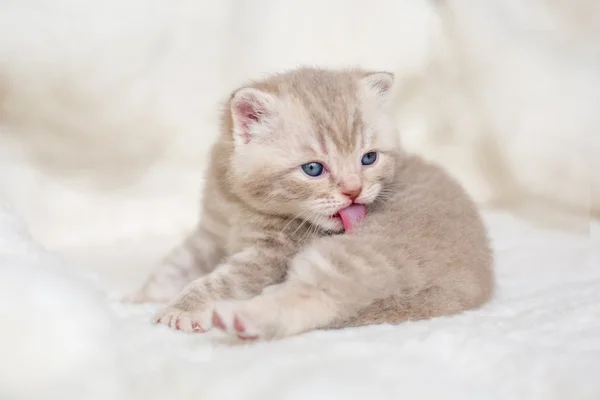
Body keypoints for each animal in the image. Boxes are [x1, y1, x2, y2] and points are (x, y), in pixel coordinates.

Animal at [126, 67, 492, 340]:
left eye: (368, 158)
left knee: (317, 296)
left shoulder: (271, 255)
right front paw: (138, 296)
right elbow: (176, 264)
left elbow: (221, 280)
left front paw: (182, 309)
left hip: (358, 253)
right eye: (313, 169)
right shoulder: (211, 231)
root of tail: (472, 283)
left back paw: (244, 318)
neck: (241, 207)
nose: (354, 191)